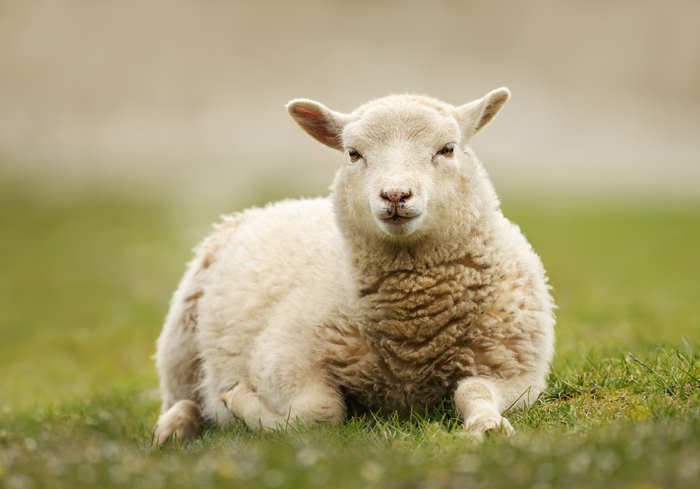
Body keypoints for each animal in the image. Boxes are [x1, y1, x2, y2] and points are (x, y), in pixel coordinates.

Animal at [153, 87, 555, 444]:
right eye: (353, 153)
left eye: (447, 148)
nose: (395, 195)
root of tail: (270, 205)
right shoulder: (280, 359)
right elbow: (322, 411)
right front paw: (239, 401)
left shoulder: (515, 370)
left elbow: (474, 392)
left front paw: (489, 426)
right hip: (179, 342)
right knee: (182, 399)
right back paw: (173, 430)